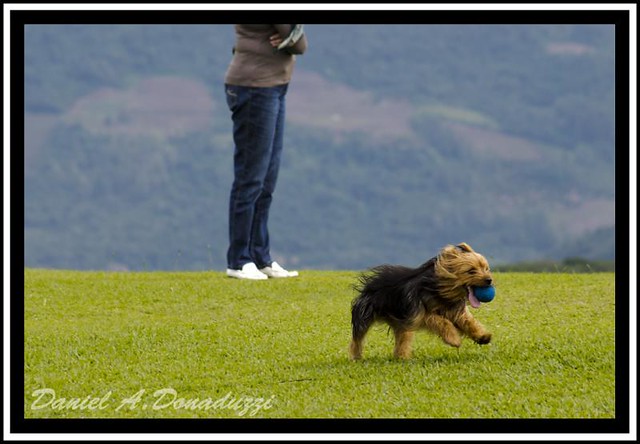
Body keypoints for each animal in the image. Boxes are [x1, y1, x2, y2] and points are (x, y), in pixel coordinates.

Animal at [350, 243, 496, 360]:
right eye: (471, 271)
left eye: (486, 268)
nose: (489, 280)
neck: (442, 292)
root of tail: (370, 284)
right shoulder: (418, 314)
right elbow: (441, 321)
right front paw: (453, 339)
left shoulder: (455, 311)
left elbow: (468, 321)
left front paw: (482, 336)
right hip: (365, 313)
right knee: (358, 337)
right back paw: (356, 356)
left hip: (400, 321)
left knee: (403, 337)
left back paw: (401, 356)